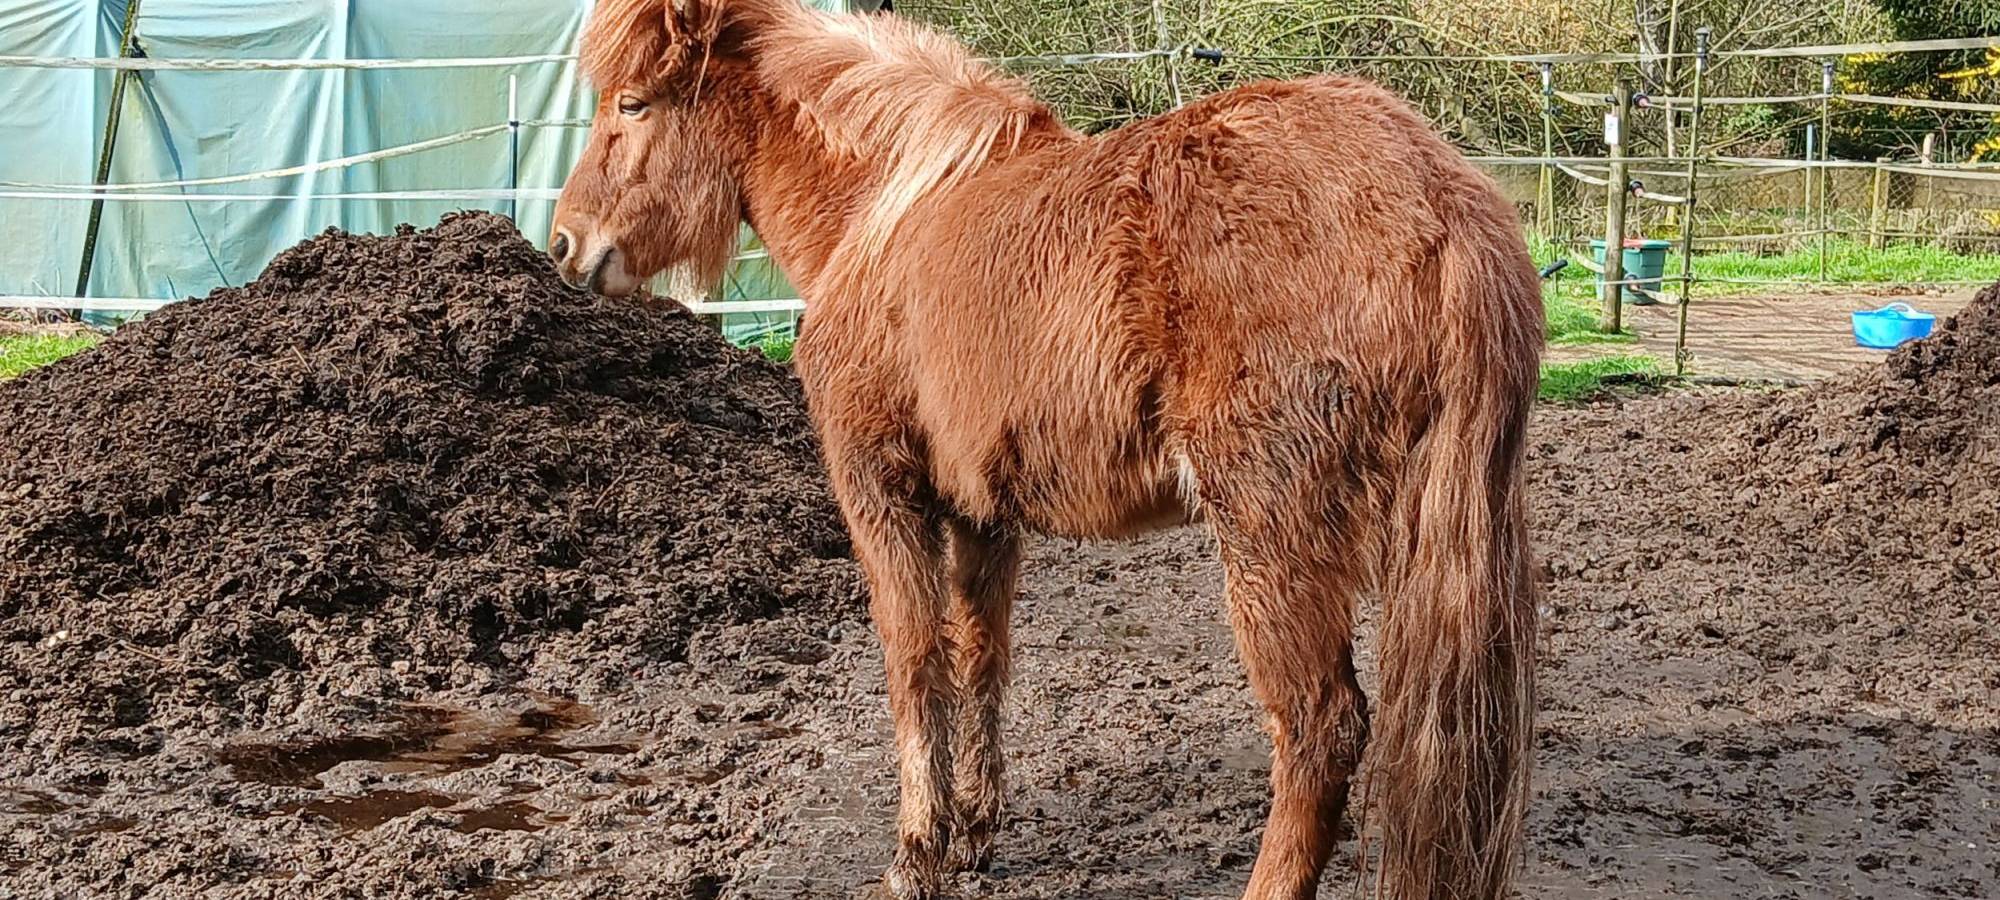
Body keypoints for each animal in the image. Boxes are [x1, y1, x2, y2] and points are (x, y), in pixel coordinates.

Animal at [549, 1, 1544, 897]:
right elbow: (981, 653)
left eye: (634, 103)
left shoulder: (881, 490)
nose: (565, 242)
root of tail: (1440, 196)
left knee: (1320, 729)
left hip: (1273, 535)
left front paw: (915, 857)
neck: (884, 212)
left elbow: (913, 659)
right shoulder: (983, 513)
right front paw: (972, 835)